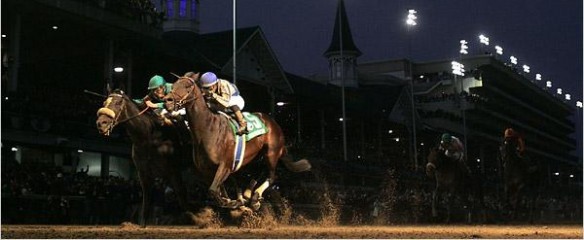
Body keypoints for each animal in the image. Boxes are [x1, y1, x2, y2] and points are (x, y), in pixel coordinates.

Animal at [96, 88, 194, 227]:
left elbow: (182, 196)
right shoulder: (144, 173)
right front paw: (142, 225)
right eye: (104, 102)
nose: (101, 123)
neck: (149, 136)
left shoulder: (174, 171)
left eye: (118, 102)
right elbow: (146, 199)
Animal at [162, 73, 312, 210]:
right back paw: (249, 195)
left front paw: (232, 202)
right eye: (174, 84)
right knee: (259, 172)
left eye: (187, 86)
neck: (207, 130)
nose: (167, 101)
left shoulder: (226, 165)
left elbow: (213, 190)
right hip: (256, 156)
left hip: (272, 152)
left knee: (271, 176)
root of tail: (273, 122)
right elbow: (217, 190)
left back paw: (255, 197)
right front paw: (232, 200)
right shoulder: (205, 170)